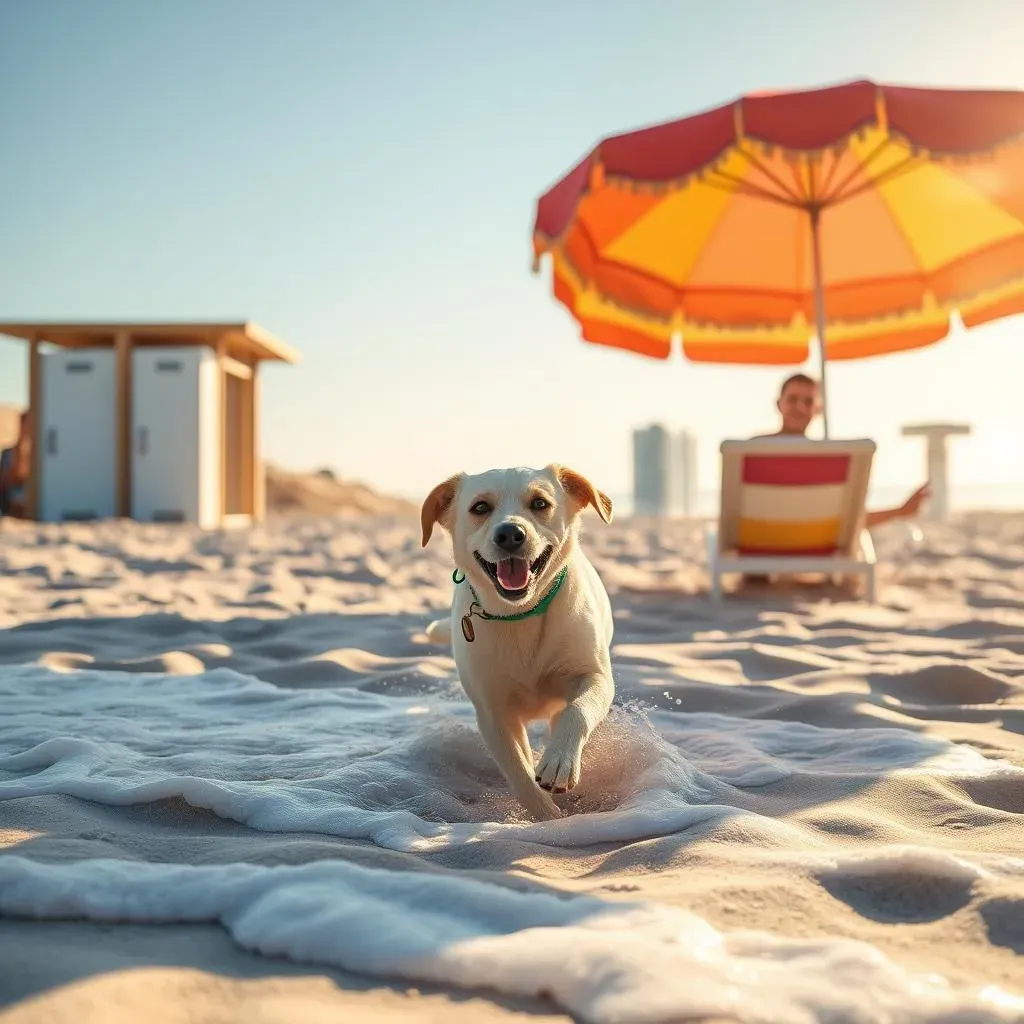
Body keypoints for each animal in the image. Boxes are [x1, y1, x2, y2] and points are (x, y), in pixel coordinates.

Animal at [417, 468, 610, 819]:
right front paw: (547, 816)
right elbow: (519, 773)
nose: (509, 534)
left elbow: (578, 710)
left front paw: (559, 761)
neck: (520, 613)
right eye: (480, 507)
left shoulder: (595, 677)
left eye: (540, 503)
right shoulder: (493, 712)